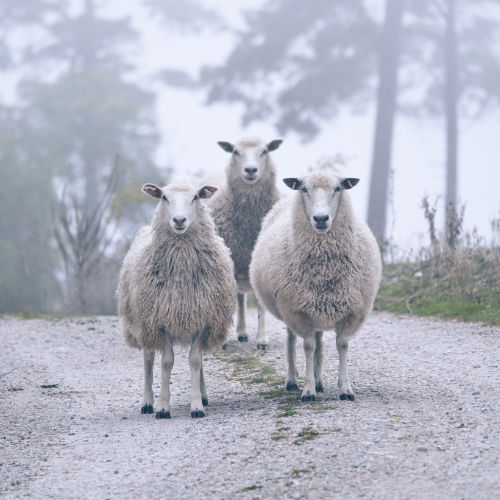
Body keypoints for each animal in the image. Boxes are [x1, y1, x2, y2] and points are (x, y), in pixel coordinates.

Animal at [116, 180, 237, 418]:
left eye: (195, 197)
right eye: (164, 197)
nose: (179, 220)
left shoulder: (202, 319)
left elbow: (195, 361)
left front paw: (197, 405)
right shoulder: (160, 322)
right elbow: (166, 362)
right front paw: (163, 406)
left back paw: (203, 395)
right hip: (143, 323)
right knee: (148, 359)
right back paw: (147, 402)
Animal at [209, 135, 284, 350]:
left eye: (265, 151)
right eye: (235, 152)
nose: (251, 170)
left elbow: (259, 302)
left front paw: (262, 339)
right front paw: (224, 340)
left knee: (241, 297)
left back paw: (243, 333)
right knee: (238, 297)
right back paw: (240, 332)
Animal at [250, 171, 382, 402]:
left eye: (338, 188)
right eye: (304, 189)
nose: (321, 218)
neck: (325, 268)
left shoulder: (350, 311)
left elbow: (341, 345)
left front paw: (345, 388)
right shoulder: (298, 312)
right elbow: (308, 346)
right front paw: (308, 390)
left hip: (318, 306)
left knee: (320, 341)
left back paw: (320, 381)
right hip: (291, 309)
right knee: (292, 340)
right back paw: (293, 380)